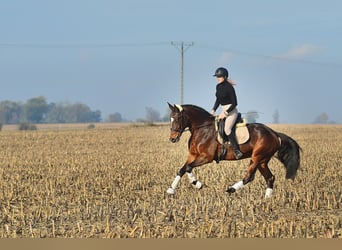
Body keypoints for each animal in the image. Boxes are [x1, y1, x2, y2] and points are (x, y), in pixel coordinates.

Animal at [167, 102, 300, 198]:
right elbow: (182, 169)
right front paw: (170, 190)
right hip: (262, 161)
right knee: (270, 178)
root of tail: (274, 134)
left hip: (257, 158)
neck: (202, 129)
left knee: (249, 177)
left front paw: (198, 184)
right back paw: (266, 200)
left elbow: (188, 168)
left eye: (178, 118)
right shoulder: (193, 155)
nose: (172, 139)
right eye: (170, 119)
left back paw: (230, 190)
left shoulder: (206, 157)